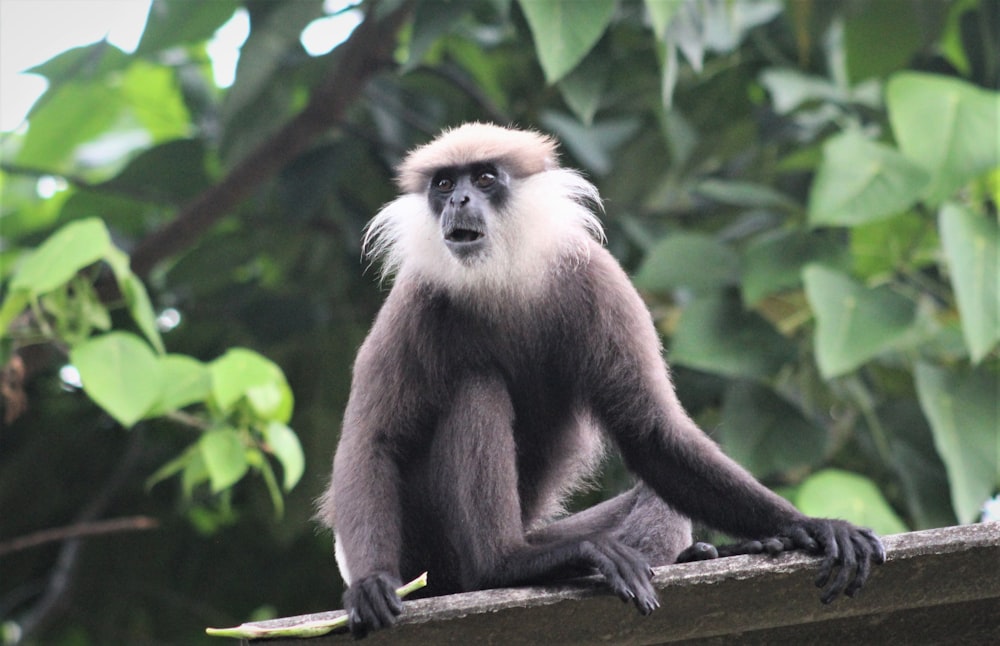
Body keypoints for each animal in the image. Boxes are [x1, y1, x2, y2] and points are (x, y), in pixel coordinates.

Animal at [318, 124, 884, 640]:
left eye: (483, 178)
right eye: (442, 183)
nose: (457, 199)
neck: (500, 281)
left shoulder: (597, 278)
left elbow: (651, 434)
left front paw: (810, 527)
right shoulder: (416, 299)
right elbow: (373, 443)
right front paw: (370, 583)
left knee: (657, 495)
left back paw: (717, 549)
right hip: (426, 554)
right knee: (476, 388)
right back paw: (508, 564)